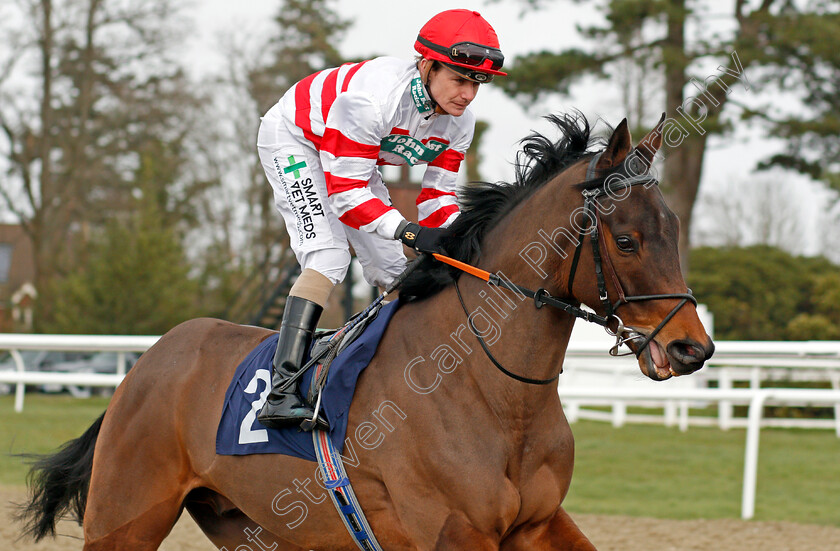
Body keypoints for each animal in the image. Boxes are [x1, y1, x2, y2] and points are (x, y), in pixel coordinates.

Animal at [18, 113, 716, 551]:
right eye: (626, 241)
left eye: (676, 228)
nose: (692, 348)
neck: (493, 391)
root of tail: (153, 357)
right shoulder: (456, 532)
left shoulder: (539, 524)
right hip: (125, 517)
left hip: (255, 524)